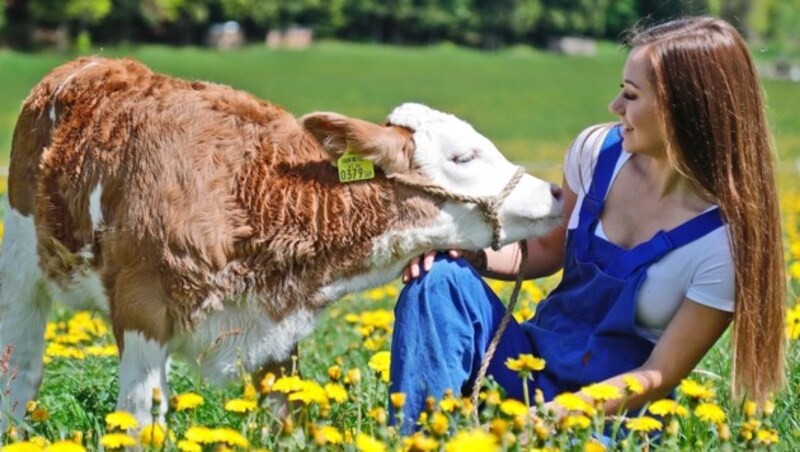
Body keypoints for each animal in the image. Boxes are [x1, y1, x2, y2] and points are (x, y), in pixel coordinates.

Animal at [0, 56, 564, 428]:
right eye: (463, 157)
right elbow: (140, 421)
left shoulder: (277, 332)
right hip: (20, 268)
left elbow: (283, 415)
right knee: (21, 370)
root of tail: (88, 63)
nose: (555, 191)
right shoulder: (141, 308)